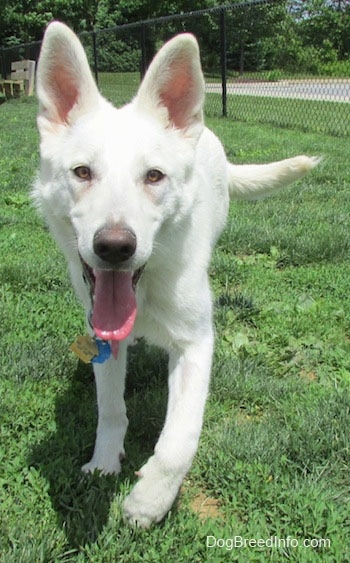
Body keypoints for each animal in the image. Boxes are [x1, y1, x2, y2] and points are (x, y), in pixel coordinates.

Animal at [32, 19, 318, 528]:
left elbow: (179, 440)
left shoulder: (197, 343)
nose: (114, 247)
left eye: (153, 176)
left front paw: (148, 502)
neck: (145, 291)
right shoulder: (103, 339)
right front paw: (103, 463)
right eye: (82, 172)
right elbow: (110, 409)